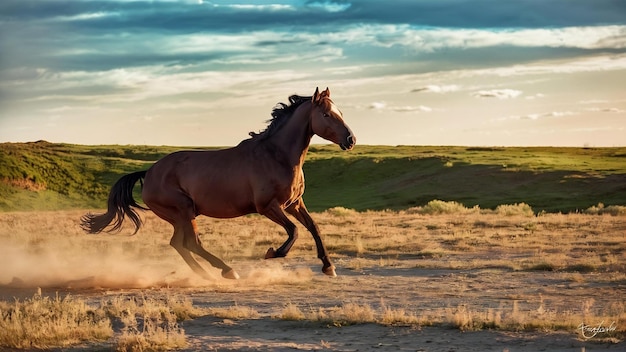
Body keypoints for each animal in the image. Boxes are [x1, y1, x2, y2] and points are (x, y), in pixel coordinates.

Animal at [81, 88, 356, 280]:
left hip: (180, 216)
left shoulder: (294, 204)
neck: (276, 155)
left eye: (341, 113)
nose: (351, 139)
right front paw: (272, 253)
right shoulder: (268, 207)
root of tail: (149, 172)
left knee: (179, 244)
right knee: (191, 243)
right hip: (183, 211)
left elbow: (313, 228)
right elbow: (294, 231)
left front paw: (328, 267)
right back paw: (227, 271)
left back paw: (205, 274)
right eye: (326, 114)